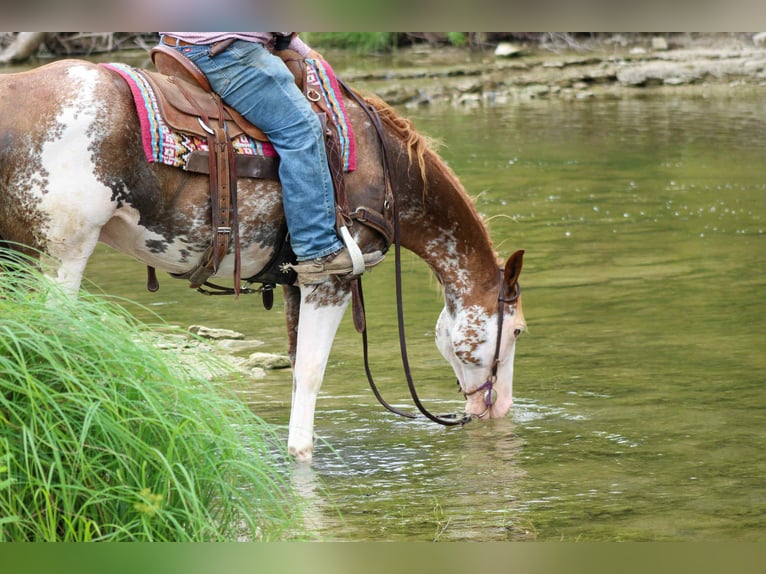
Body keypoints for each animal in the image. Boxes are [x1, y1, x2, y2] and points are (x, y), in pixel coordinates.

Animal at [0, 58, 526, 462]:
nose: (499, 409)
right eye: (518, 330)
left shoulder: (294, 283)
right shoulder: (330, 282)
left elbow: (295, 374)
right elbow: (311, 378)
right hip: (58, 260)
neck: (386, 171)